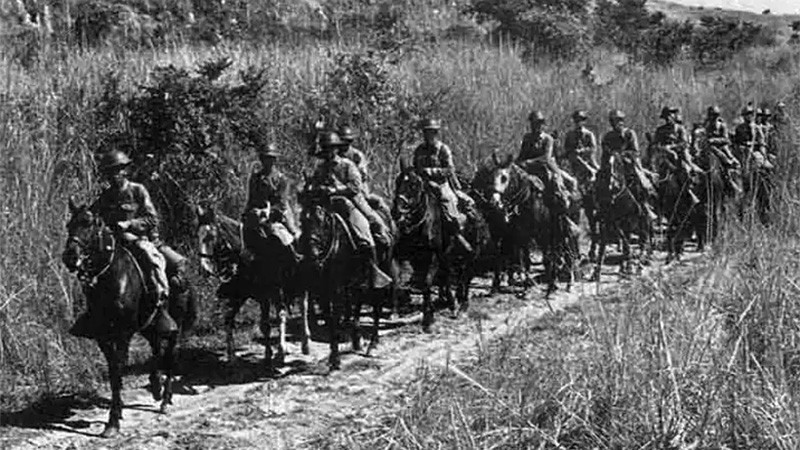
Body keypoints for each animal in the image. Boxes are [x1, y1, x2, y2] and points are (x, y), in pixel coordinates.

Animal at [61, 200, 195, 436]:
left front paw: (113, 421)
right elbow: (113, 371)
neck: (110, 276)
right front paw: (117, 412)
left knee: (170, 355)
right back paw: (156, 386)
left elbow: (118, 369)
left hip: (174, 326)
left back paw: (165, 400)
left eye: (88, 224)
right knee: (156, 349)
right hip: (149, 325)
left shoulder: (124, 333)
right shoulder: (103, 336)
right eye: (69, 225)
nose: (70, 257)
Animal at [195, 204, 310, 372]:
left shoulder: (269, 294)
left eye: (210, 236)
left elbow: (270, 323)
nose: (204, 269)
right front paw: (232, 358)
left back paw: (303, 344)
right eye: (198, 235)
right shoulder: (240, 296)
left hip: (295, 287)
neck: (248, 258)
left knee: (302, 308)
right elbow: (232, 320)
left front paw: (276, 354)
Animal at [392, 163, 490, 328]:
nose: (397, 212)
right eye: (397, 182)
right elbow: (398, 283)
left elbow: (427, 283)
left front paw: (429, 318)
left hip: (471, 254)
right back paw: (452, 302)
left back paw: (463, 305)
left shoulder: (433, 257)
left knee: (466, 276)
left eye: (414, 184)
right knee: (450, 276)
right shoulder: (405, 257)